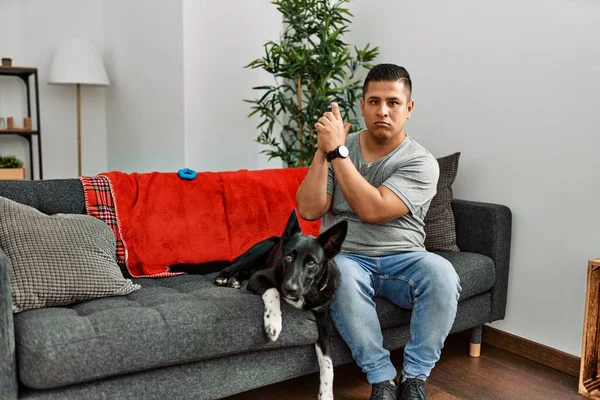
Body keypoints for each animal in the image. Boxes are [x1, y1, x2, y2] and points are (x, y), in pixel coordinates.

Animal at [169, 209, 346, 400]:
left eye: (312, 263)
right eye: (288, 257)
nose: (289, 289)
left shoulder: (323, 320)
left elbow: (328, 363)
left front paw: (326, 394)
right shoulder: (259, 278)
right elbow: (274, 292)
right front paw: (273, 324)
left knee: (242, 272)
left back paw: (233, 281)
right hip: (257, 253)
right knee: (232, 267)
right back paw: (224, 277)